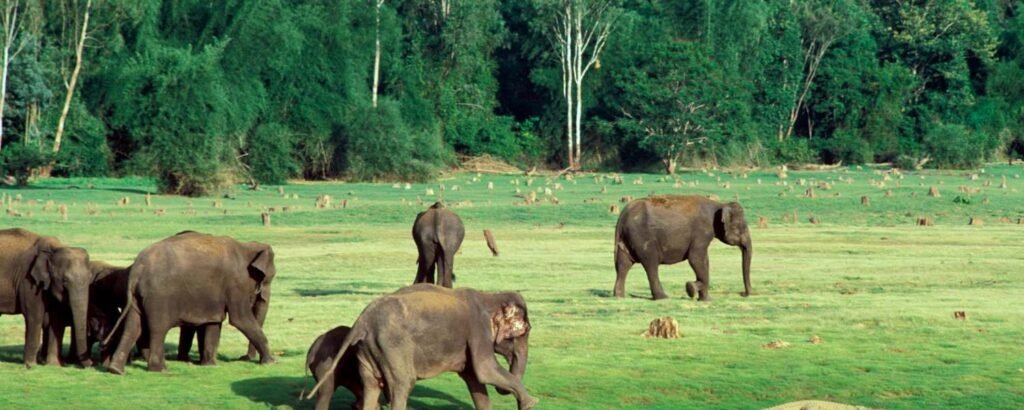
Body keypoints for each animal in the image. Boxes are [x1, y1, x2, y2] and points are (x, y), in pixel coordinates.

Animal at [0, 227, 94, 369]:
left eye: (90, 279)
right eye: (65, 280)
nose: (92, 363)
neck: (54, 249)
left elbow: (56, 319)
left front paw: (54, 365)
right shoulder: (28, 281)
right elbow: (35, 316)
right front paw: (31, 366)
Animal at [105, 230, 278, 375]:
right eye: (267, 280)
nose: (244, 358)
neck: (246, 247)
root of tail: (137, 269)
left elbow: (214, 322)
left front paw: (210, 365)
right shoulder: (235, 283)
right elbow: (240, 319)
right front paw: (272, 362)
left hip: (136, 297)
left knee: (133, 326)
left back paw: (116, 370)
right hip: (159, 296)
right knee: (158, 329)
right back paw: (160, 370)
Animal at [307, 282, 540, 410]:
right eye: (525, 331)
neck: (489, 296)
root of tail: (361, 322)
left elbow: (475, 380)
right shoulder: (477, 330)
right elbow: (485, 371)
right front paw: (531, 403)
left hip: (367, 351)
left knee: (371, 387)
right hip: (392, 347)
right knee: (402, 384)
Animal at [606, 195, 753, 301]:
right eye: (741, 227)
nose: (743, 294)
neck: (720, 205)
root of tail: (622, 216)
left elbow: (704, 261)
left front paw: (706, 299)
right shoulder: (701, 232)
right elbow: (695, 259)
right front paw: (691, 288)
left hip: (626, 239)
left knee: (623, 265)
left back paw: (619, 296)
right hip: (643, 237)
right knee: (651, 264)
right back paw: (663, 298)